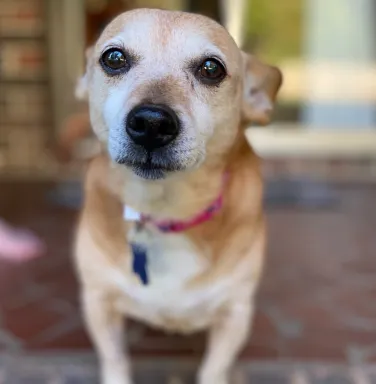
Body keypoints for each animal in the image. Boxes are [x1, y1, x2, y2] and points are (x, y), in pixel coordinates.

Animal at [75, 9, 282, 384]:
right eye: (114, 58)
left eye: (211, 68)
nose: (151, 123)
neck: (165, 210)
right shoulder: (98, 301)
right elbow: (115, 360)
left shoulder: (235, 314)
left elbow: (214, 368)